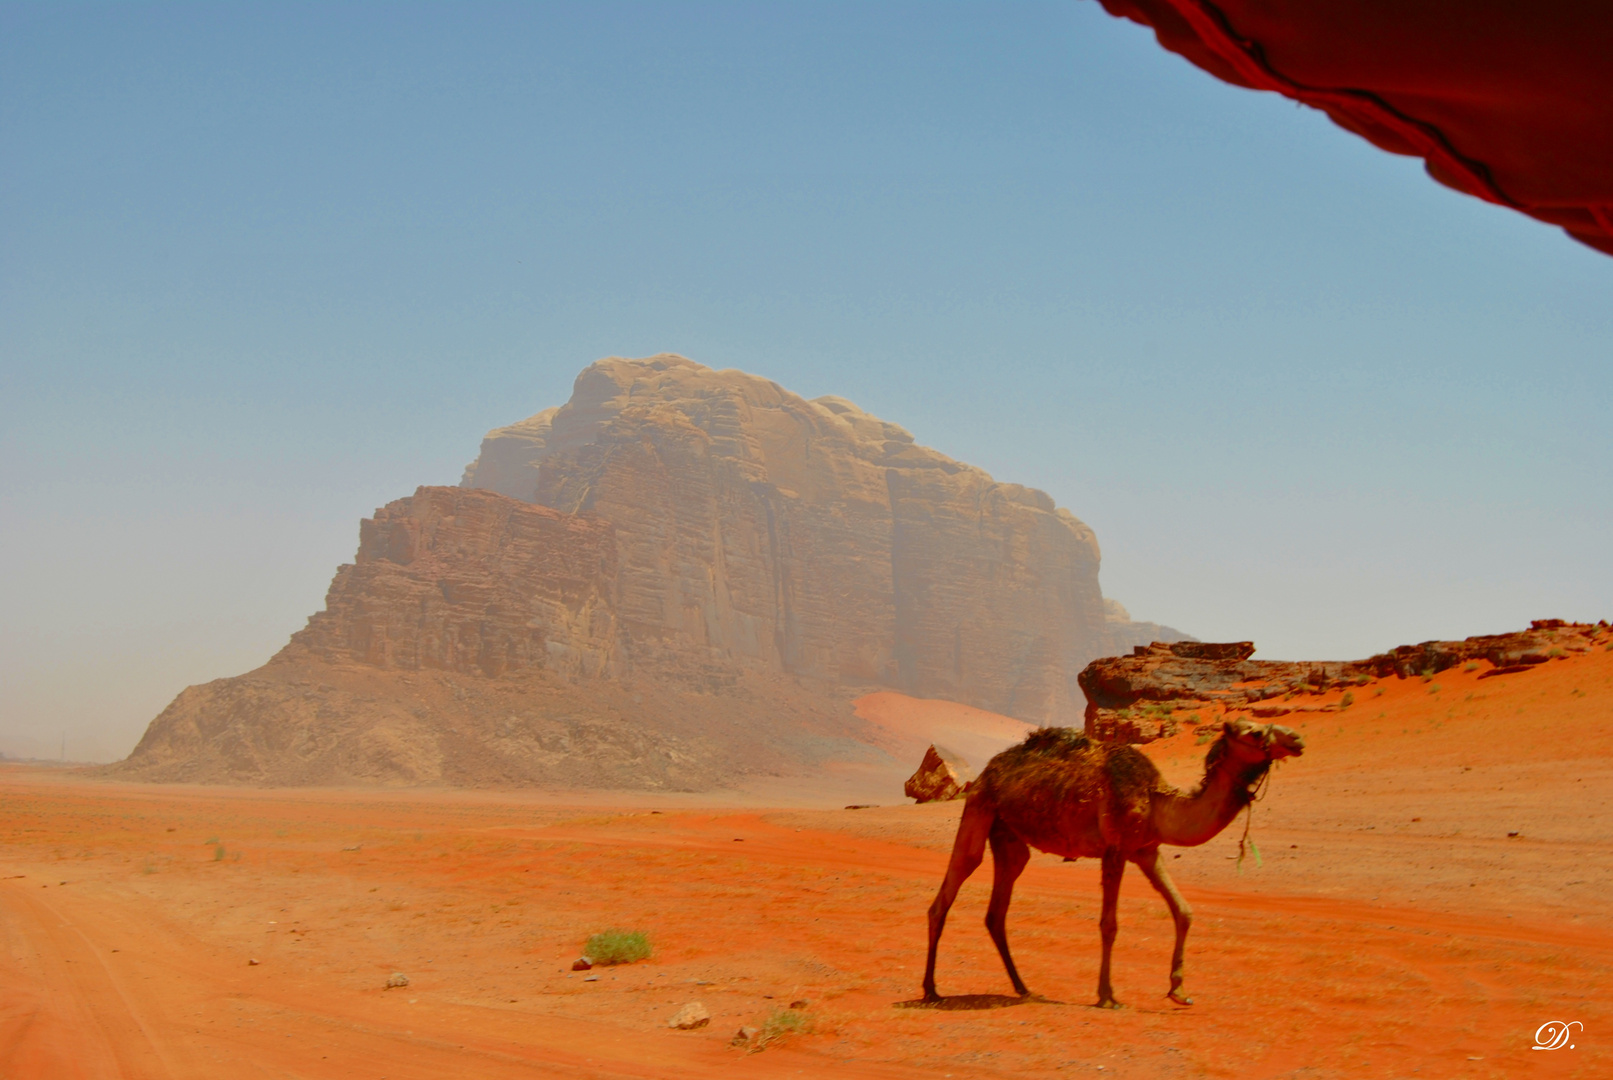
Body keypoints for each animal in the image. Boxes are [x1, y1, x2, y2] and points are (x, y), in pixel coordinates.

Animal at [922, 722, 1296, 1012]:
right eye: (1255, 732)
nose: (1296, 740)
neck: (1156, 799)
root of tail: (986, 772)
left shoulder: (1146, 849)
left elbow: (1183, 910)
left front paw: (1179, 991)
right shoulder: (1115, 849)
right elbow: (1109, 925)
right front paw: (1108, 996)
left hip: (1009, 836)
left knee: (996, 911)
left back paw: (1024, 988)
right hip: (979, 808)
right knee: (951, 887)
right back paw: (931, 990)